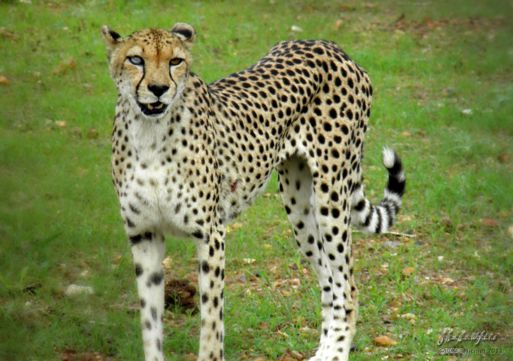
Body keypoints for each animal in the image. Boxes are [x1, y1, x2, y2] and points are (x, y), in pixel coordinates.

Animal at [100, 23, 404, 360]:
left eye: (175, 61)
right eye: (136, 59)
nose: (158, 89)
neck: (149, 134)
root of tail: (330, 45)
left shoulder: (210, 234)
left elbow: (211, 322)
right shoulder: (144, 234)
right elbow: (150, 323)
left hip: (331, 196)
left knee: (347, 286)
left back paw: (337, 351)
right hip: (300, 209)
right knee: (328, 282)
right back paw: (324, 349)